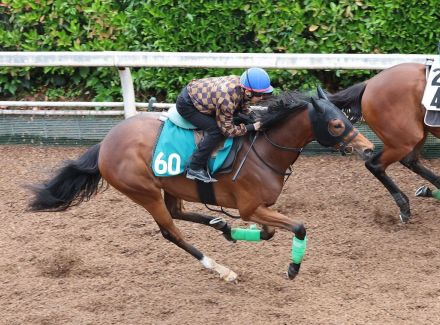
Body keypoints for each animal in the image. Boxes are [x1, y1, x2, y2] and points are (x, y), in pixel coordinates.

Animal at [27, 86, 372, 280]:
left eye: (347, 117)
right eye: (337, 124)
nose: (369, 148)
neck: (264, 150)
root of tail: (105, 144)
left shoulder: (259, 208)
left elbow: (270, 232)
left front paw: (237, 232)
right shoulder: (250, 207)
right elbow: (298, 227)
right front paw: (292, 268)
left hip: (169, 187)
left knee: (178, 213)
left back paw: (222, 226)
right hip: (144, 192)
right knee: (171, 231)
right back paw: (221, 268)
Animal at [326, 62, 440, 221]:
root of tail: (369, 83)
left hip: (416, 134)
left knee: (410, 161)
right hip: (403, 140)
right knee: (375, 165)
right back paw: (404, 206)